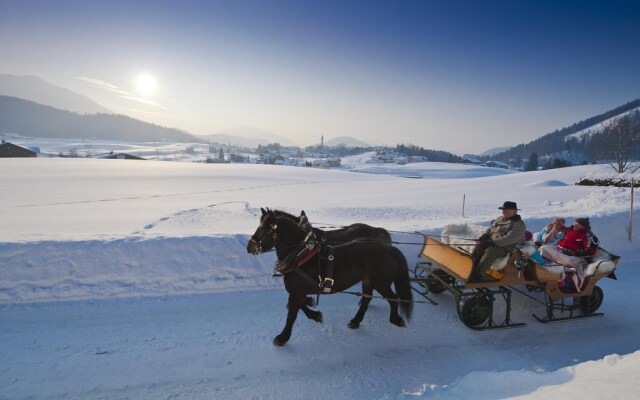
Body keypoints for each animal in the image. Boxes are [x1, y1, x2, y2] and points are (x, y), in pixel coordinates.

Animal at [248, 209, 412, 346]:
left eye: (268, 229)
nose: (249, 247)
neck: (300, 256)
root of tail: (390, 249)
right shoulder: (298, 292)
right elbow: (299, 306)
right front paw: (316, 315)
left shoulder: (296, 291)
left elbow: (292, 314)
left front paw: (282, 337)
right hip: (368, 281)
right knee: (367, 298)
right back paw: (355, 321)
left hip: (381, 283)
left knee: (394, 299)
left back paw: (396, 320)